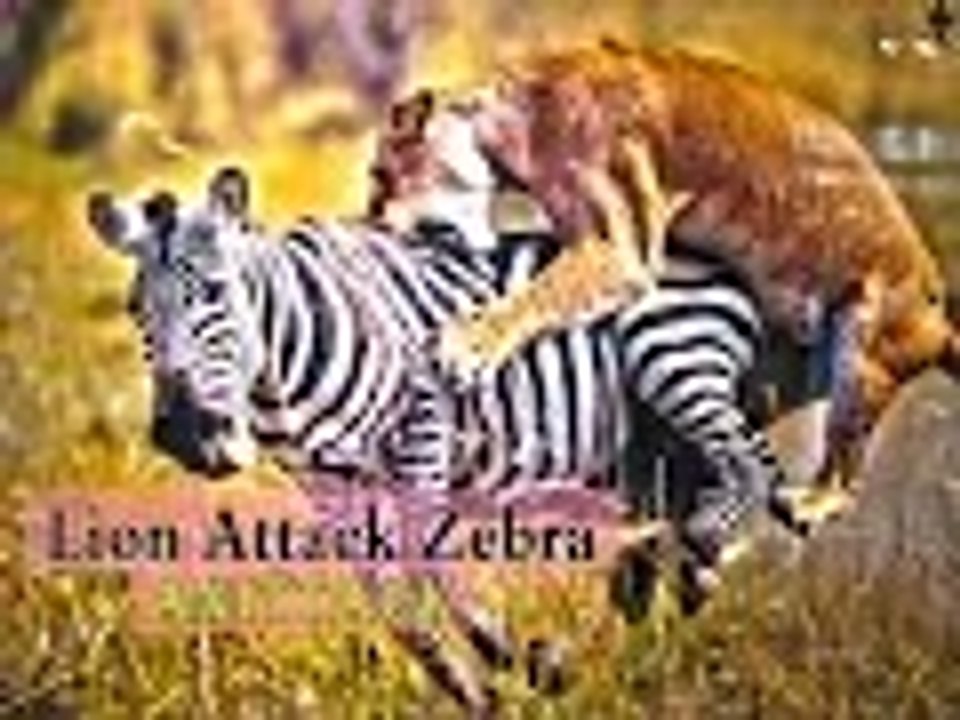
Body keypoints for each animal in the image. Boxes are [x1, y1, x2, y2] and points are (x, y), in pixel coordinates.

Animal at [85, 166, 806, 711]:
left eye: (215, 292)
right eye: (135, 310)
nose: (185, 435)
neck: (283, 364)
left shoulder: (425, 423)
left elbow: (430, 558)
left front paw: (508, 657)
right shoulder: (327, 482)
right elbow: (394, 604)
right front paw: (478, 688)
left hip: (672, 356)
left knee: (745, 473)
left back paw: (690, 566)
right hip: (650, 447)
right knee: (666, 539)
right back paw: (637, 638)